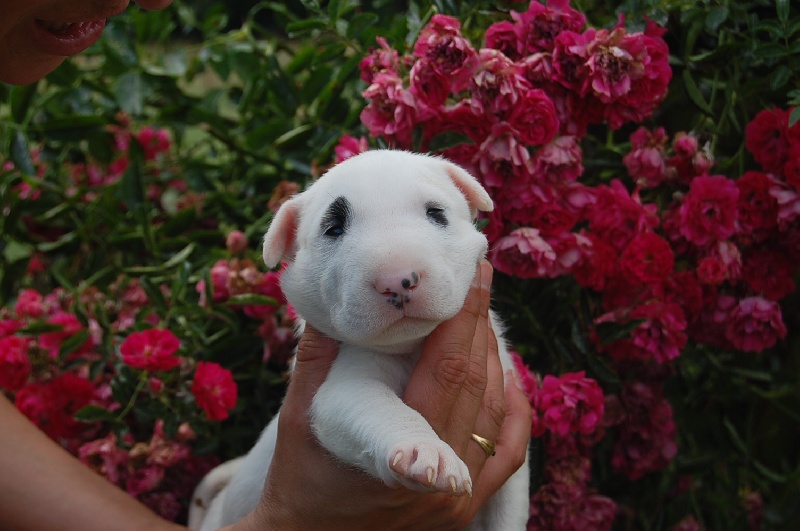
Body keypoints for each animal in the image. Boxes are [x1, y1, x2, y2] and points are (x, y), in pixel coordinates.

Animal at [189, 150, 529, 530]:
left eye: (436, 214)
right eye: (334, 229)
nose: (397, 280)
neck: (411, 347)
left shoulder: (510, 461)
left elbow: (508, 513)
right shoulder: (342, 386)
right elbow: (377, 407)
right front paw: (426, 451)